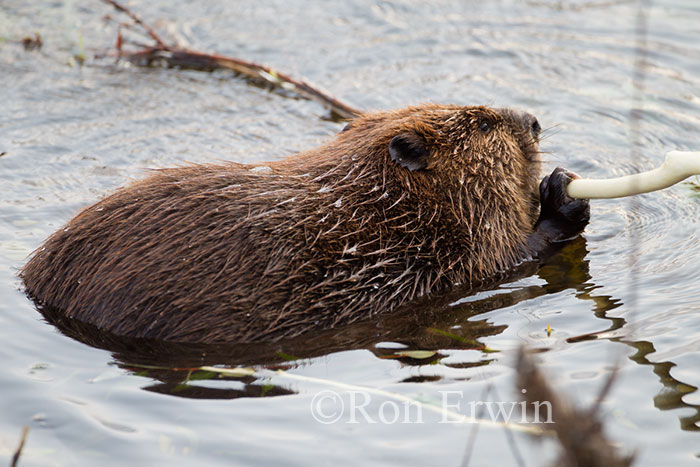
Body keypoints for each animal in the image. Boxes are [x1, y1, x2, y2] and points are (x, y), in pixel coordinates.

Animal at [21, 105, 588, 344]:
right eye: (485, 123)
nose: (534, 120)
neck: (383, 204)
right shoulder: (433, 252)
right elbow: (505, 259)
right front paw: (562, 193)